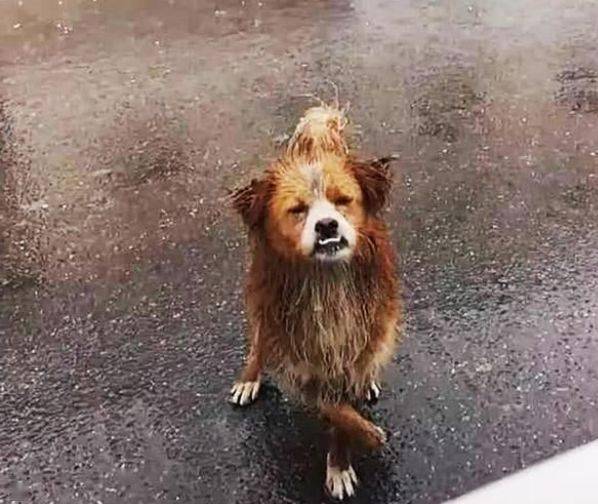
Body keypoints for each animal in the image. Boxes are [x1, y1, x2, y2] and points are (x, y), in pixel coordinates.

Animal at [230, 103, 404, 500]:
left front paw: (341, 460)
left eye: (343, 201)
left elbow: (342, 404)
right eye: (298, 210)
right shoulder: (293, 348)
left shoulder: (365, 335)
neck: (326, 280)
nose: (327, 225)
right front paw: (367, 436)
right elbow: (330, 405)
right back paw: (250, 377)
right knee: (259, 341)